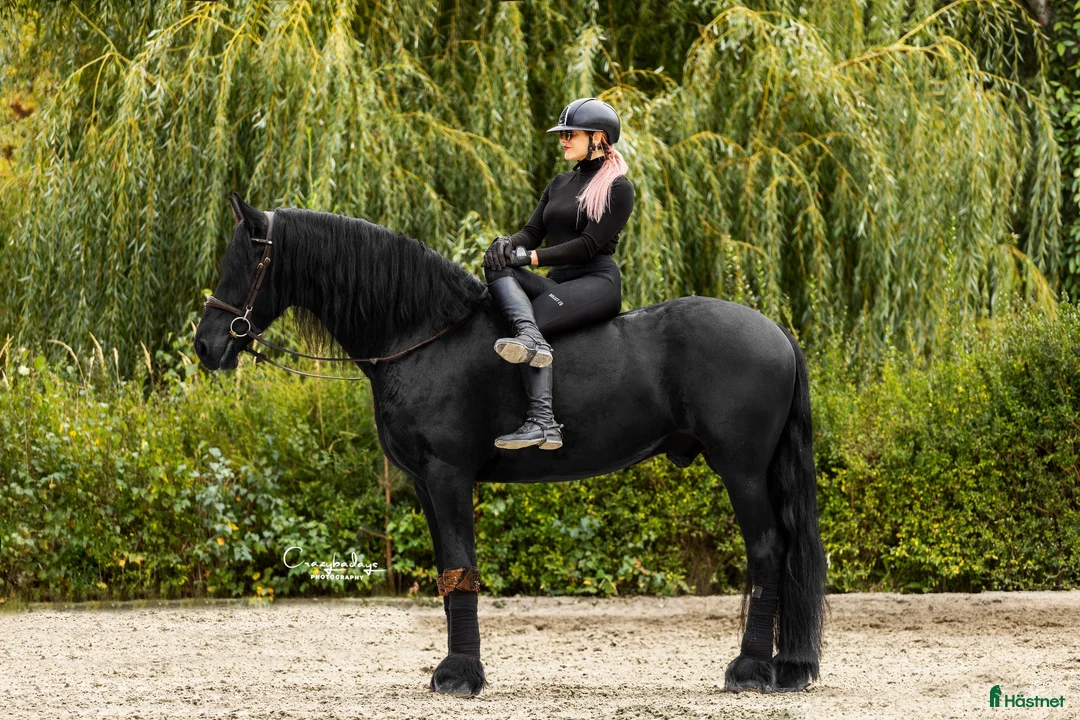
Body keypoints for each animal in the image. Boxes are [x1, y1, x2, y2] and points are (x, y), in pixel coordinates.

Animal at [194, 192, 829, 695]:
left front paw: (460, 675)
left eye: (248, 259)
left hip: (741, 470)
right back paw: (787, 666)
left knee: (768, 550)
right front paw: (457, 668)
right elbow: (450, 573)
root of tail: (776, 332)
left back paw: (750, 669)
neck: (423, 335)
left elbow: (461, 566)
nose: (206, 345)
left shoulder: (448, 475)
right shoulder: (424, 483)